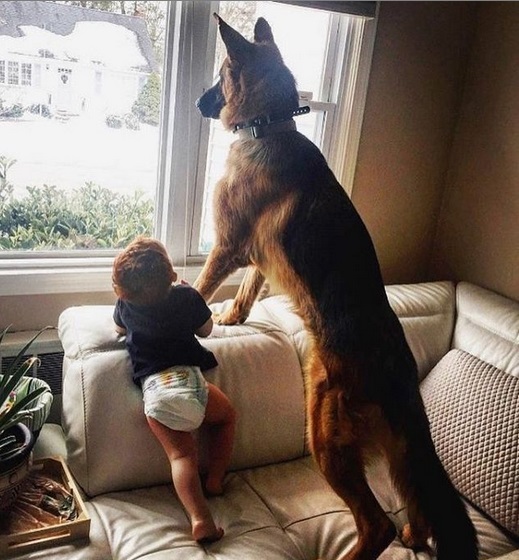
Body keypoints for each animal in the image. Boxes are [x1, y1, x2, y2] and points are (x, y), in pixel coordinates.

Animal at [196, 13, 480, 560]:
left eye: (220, 76)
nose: (199, 104)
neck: (270, 124)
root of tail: (400, 376)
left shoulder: (228, 245)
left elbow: (198, 285)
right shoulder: (258, 257)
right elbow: (247, 291)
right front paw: (232, 317)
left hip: (325, 431)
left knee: (377, 524)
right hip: (392, 453)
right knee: (414, 504)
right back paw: (416, 535)